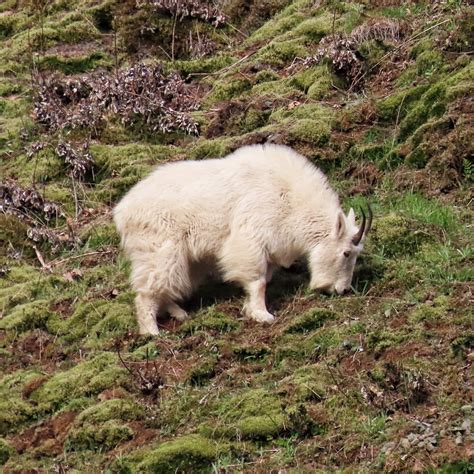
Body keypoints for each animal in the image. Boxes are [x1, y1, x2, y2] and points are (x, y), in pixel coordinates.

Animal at [114, 144, 370, 334]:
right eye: (346, 252)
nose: (342, 290)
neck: (291, 200)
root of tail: (123, 210)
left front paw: (249, 308)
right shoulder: (251, 239)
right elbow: (258, 281)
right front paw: (263, 315)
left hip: (186, 259)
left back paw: (179, 313)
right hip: (159, 250)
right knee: (147, 291)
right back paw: (152, 331)